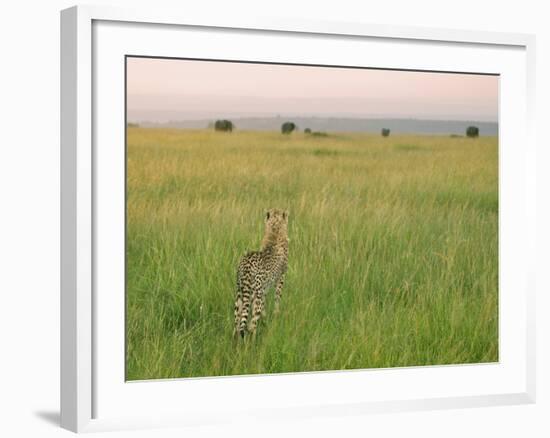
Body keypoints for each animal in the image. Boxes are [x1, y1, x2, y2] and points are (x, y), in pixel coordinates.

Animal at [235, 209, 292, 338]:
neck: (275, 230)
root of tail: (246, 264)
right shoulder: (281, 277)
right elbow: (277, 298)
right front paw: (276, 314)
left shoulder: (265, 288)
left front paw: (266, 318)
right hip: (256, 296)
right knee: (252, 324)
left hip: (240, 294)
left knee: (237, 323)